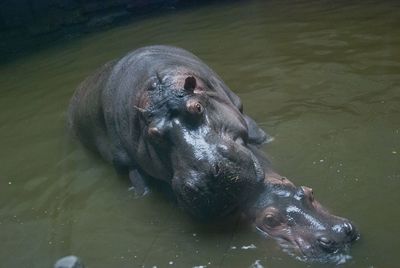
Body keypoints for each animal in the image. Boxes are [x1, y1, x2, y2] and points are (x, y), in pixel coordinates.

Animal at [68, 44, 268, 220]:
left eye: (197, 107)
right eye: (153, 134)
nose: (207, 177)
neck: (159, 88)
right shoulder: (125, 160)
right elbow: (139, 181)